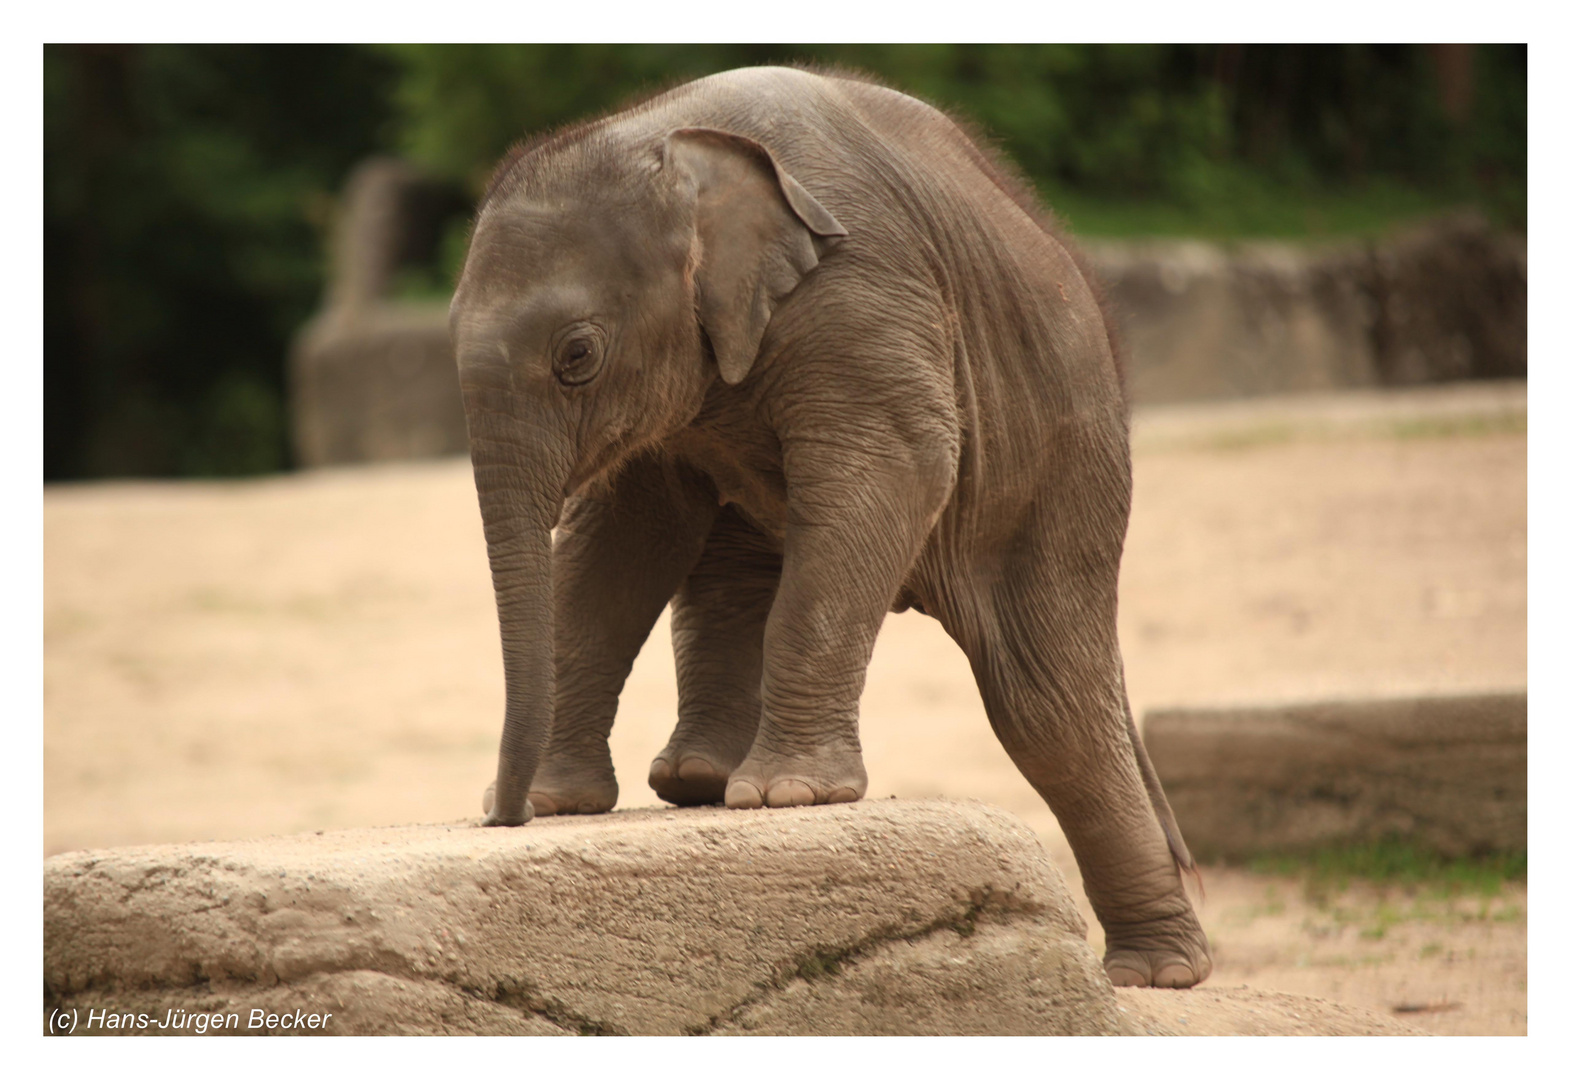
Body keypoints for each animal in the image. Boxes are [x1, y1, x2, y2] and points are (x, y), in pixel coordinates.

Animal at [455, 65, 1212, 987]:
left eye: (577, 357)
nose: (500, 817)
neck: (665, 145)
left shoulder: (858, 297)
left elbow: (896, 466)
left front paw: (793, 798)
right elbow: (623, 542)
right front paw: (558, 803)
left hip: (1065, 467)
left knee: (1047, 706)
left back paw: (1155, 976)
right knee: (734, 576)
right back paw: (698, 780)